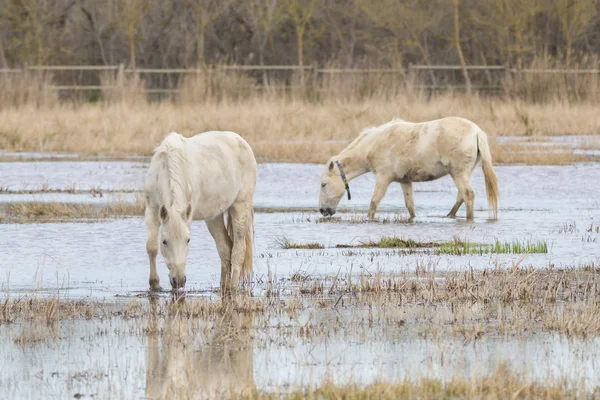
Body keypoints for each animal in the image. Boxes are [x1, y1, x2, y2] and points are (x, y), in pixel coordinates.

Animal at [147, 133, 258, 292]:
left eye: (188, 240)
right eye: (164, 241)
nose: (179, 280)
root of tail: (241, 141)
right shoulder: (152, 209)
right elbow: (151, 247)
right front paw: (154, 283)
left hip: (240, 206)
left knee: (238, 249)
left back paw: (232, 287)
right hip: (214, 217)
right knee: (225, 248)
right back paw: (223, 285)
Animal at [322, 115, 500, 222]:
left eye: (323, 184)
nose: (323, 210)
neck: (372, 145)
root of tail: (477, 132)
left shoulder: (383, 178)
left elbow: (374, 202)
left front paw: (369, 219)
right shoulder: (405, 181)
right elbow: (410, 205)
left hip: (458, 172)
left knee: (468, 195)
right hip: (465, 172)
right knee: (461, 196)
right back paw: (449, 215)